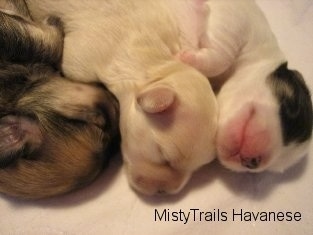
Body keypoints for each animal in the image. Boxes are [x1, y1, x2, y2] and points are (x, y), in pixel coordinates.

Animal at [178, 0, 312, 173]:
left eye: (272, 170)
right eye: (292, 106)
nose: (252, 162)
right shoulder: (241, 22)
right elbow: (222, 55)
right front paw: (188, 58)